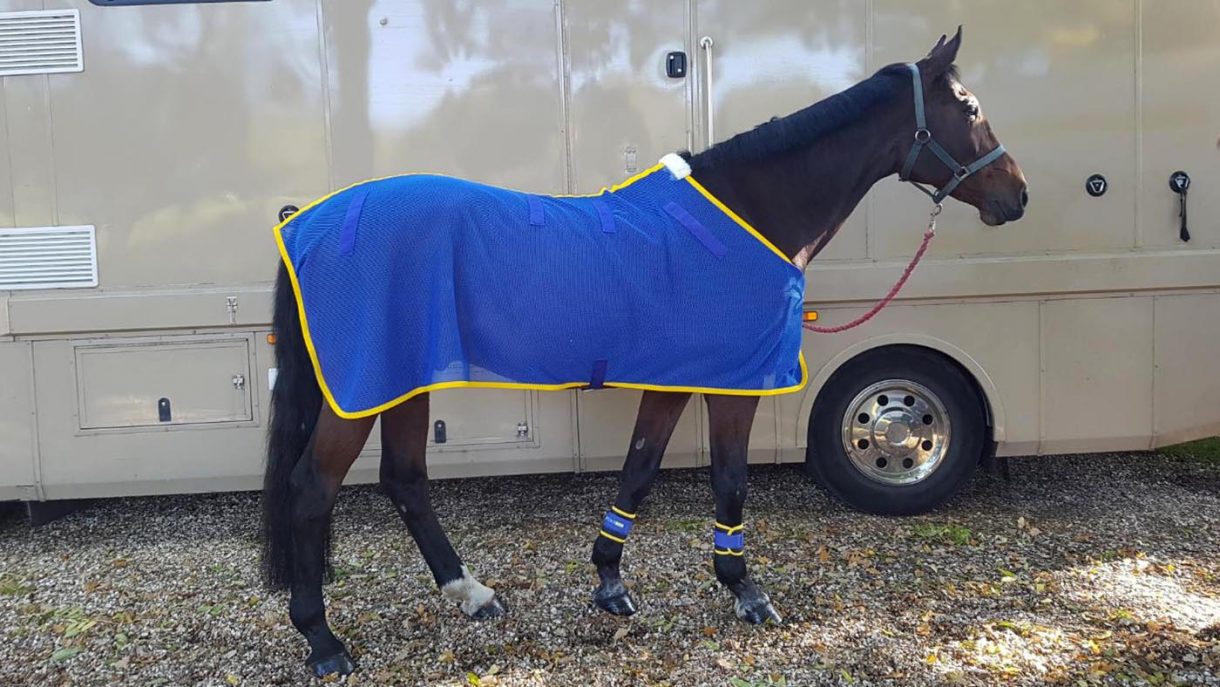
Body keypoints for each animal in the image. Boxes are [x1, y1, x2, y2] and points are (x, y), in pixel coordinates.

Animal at [260, 27, 1028, 678]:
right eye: (969, 107)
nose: (1016, 195)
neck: (749, 215)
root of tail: (305, 224)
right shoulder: (734, 382)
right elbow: (729, 478)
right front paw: (745, 591)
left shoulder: (672, 380)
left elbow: (639, 468)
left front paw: (610, 582)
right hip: (359, 389)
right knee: (312, 489)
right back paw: (322, 640)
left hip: (403, 380)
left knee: (406, 479)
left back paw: (470, 592)